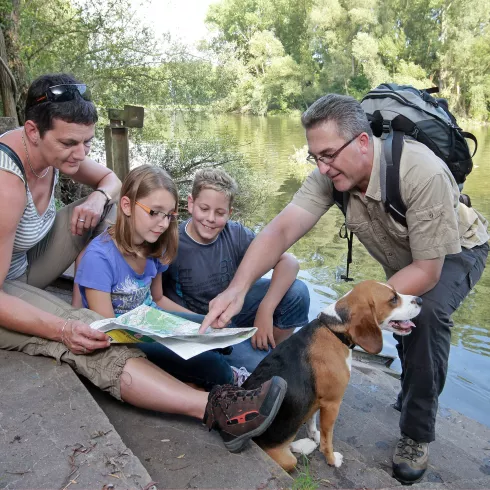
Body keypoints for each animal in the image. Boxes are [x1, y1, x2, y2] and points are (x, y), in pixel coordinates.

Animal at [243, 282, 424, 472]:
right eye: (393, 299)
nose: (420, 300)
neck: (334, 331)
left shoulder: (318, 400)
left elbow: (312, 420)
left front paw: (314, 434)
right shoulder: (332, 403)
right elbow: (327, 439)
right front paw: (331, 459)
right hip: (284, 456)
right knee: (289, 457)